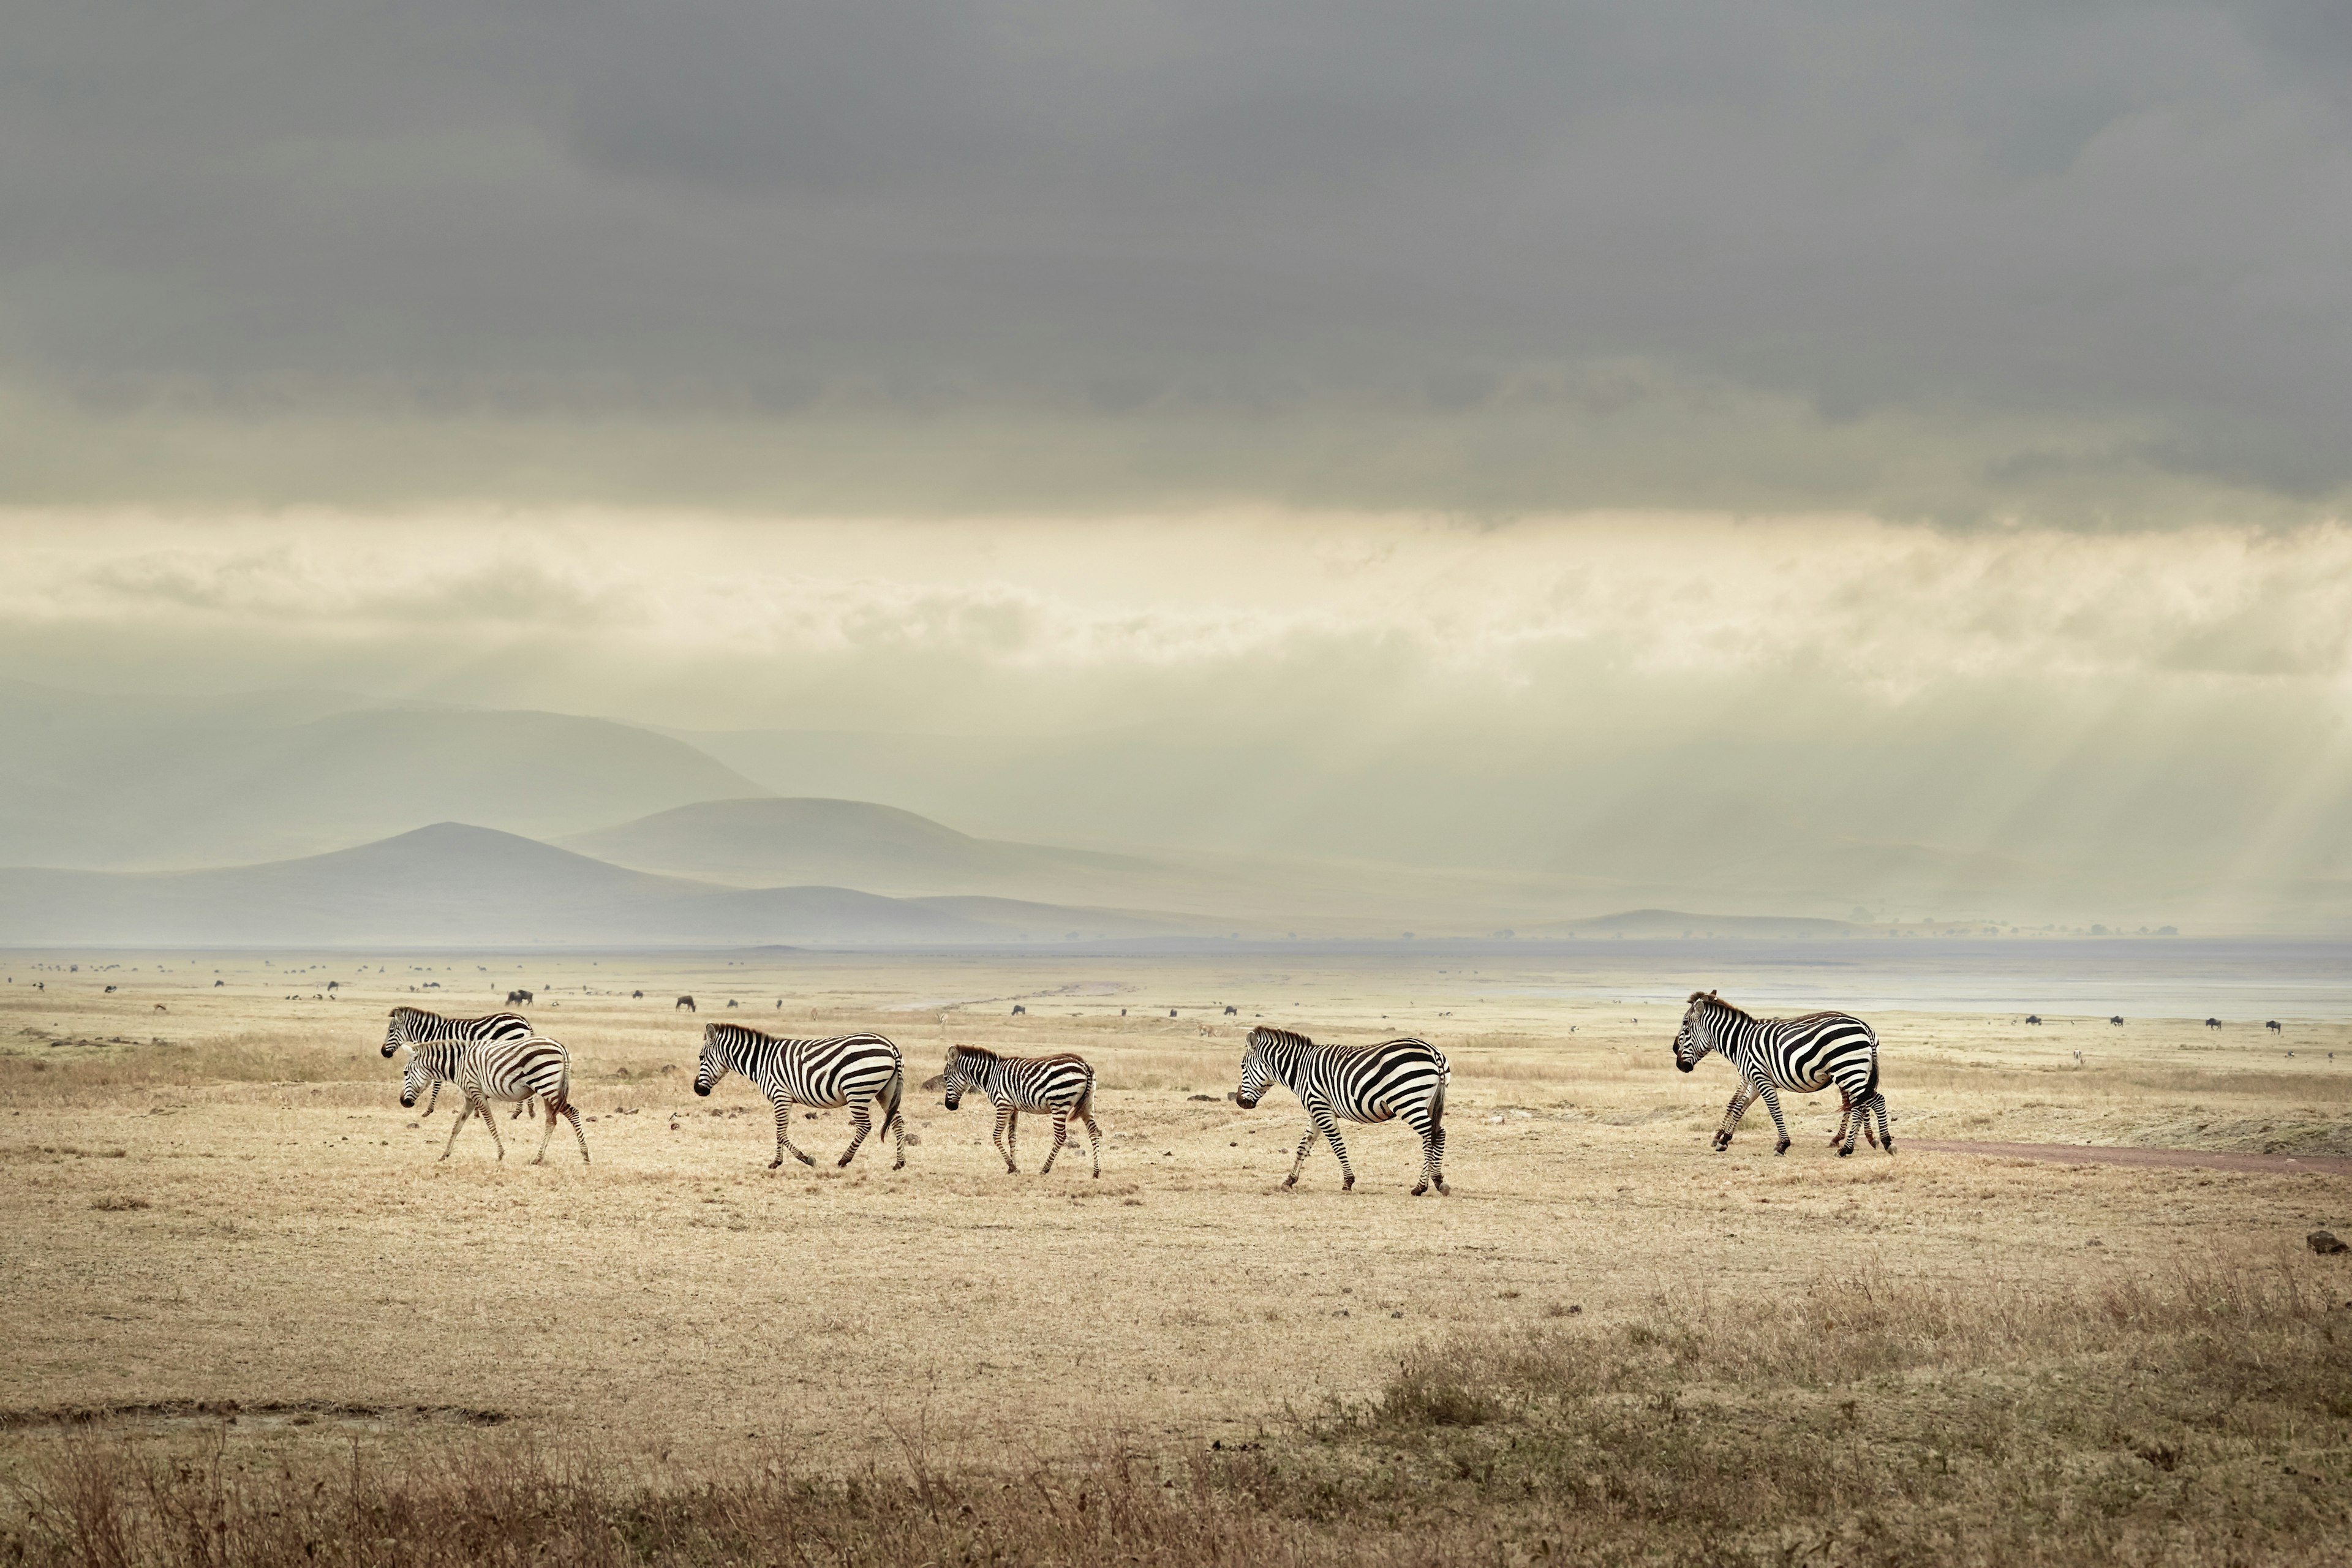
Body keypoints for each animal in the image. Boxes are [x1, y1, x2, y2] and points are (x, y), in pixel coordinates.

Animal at [399, 1030, 592, 1166]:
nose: (403, 1102)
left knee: (573, 1114)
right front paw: (444, 1155)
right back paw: (538, 1158)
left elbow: (490, 1122)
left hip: (547, 1087)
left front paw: (500, 1154)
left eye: (405, 1073)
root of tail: (561, 1047)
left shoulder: (476, 1092)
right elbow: (457, 1126)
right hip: (549, 1089)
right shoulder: (469, 1098)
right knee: (551, 1121)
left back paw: (585, 1156)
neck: (458, 1063)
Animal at [691, 1025, 903, 1170]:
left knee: (865, 1126)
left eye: (701, 1057)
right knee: (897, 1121)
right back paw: (899, 1163)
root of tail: (891, 1046)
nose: (697, 1090)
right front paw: (777, 1162)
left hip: (857, 1090)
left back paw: (844, 1159)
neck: (762, 1062)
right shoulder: (784, 1099)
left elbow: (780, 1132)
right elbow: (780, 1131)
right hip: (886, 1091)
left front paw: (804, 1159)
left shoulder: (780, 1096)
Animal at [936, 1044, 1101, 1175]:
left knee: (1060, 1136)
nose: (949, 1106)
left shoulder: (1003, 1105)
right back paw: (1096, 1171)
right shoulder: (1014, 1108)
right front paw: (1013, 1166)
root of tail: (1084, 1064)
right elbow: (1012, 1137)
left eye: (945, 1078)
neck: (990, 1076)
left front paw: (1012, 1166)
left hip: (1059, 1102)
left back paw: (1045, 1169)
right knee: (1094, 1132)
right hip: (1087, 1104)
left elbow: (996, 1136)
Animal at [1232, 1025, 1449, 1194]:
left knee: (1430, 1135)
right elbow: (1303, 1146)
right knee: (1439, 1134)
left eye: (1243, 1066)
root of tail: (1433, 1052)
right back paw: (1439, 1181)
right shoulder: (1315, 1110)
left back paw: (1420, 1186)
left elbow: (1337, 1145)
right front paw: (1289, 1181)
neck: (1300, 1068)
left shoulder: (1320, 1107)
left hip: (1408, 1101)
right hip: (1428, 1103)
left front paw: (1348, 1182)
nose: (1240, 1102)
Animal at [1675, 987, 1891, 1161]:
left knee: (1873, 1101)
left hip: (1848, 1070)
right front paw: (1724, 1139)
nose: (1678, 1063)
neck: (1741, 1042)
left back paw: (1876, 1143)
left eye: (1685, 1025)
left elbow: (1773, 1110)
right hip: (1854, 1072)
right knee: (1860, 1105)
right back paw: (1854, 1145)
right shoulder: (1753, 1079)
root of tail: (1865, 1027)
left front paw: (1782, 1145)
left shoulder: (1760, 1077)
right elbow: (1739, 1106)